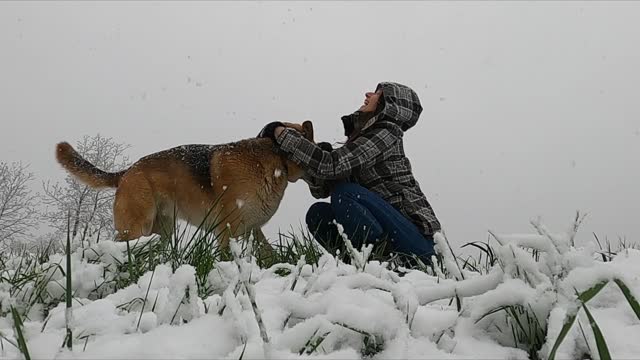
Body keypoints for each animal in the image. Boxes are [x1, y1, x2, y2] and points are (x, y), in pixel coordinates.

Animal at [55, 120, 316, 250]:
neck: (276, 158)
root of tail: (127, 172)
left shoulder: (252, 229)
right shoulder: (227, 230)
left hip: (161, 232)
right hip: (137, 228)